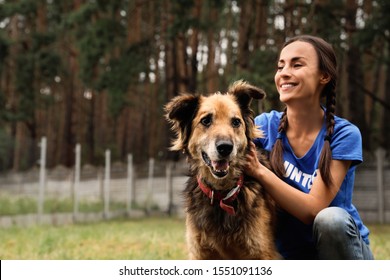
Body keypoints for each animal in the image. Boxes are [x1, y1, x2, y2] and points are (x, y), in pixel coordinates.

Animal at [164, 80, 278, 260]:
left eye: (236, 122)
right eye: (206, 121)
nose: (225, 147)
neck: (221, 195)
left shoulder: (262, 252)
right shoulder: (200, 252)